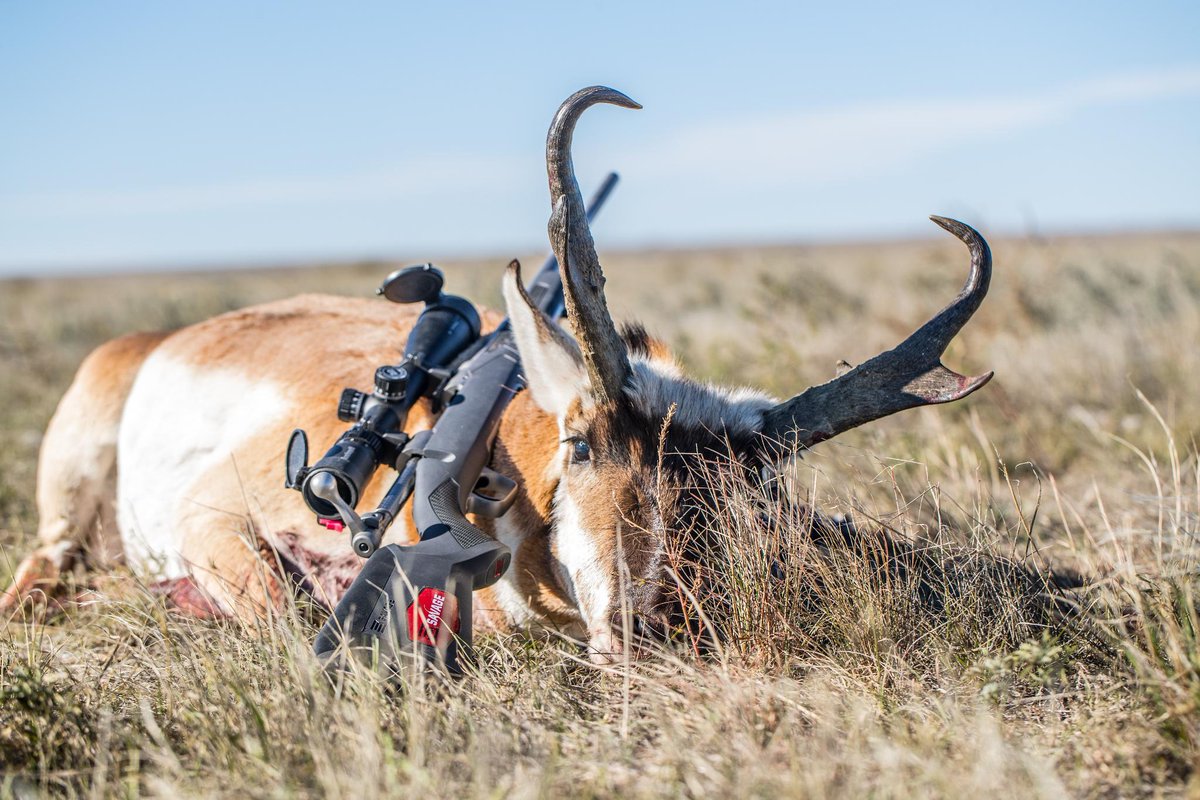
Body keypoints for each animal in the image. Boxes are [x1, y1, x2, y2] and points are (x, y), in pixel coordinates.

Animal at [1, 87, 993, 660]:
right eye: (582, 447)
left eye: (753, 495)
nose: (660, 624)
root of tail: (155, 337)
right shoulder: (214, 514)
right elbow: (288, 618)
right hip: (72, 484)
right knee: (45, 562)